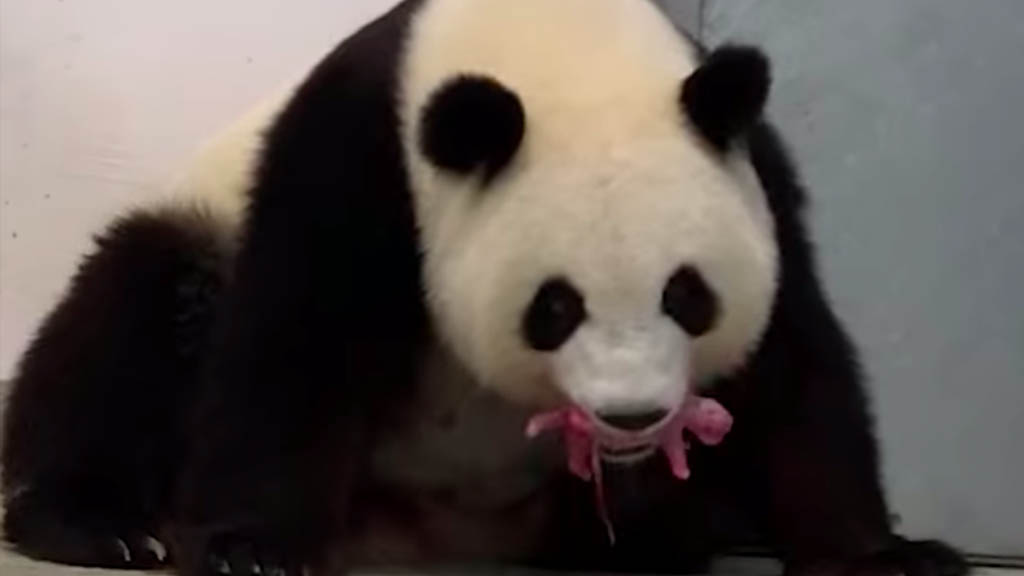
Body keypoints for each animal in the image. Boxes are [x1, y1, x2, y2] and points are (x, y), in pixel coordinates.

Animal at [1, 1, 968, 575]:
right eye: (556, 307)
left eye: (687, 295)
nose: (631, 417)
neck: (558, 45)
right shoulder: (362, 156)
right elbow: (296, 338)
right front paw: (251, 549)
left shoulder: (753, 170)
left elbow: (795, 364)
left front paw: (888, 555)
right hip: (195, 232)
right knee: (136, 321)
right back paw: (98, 525)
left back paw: (641, 549)